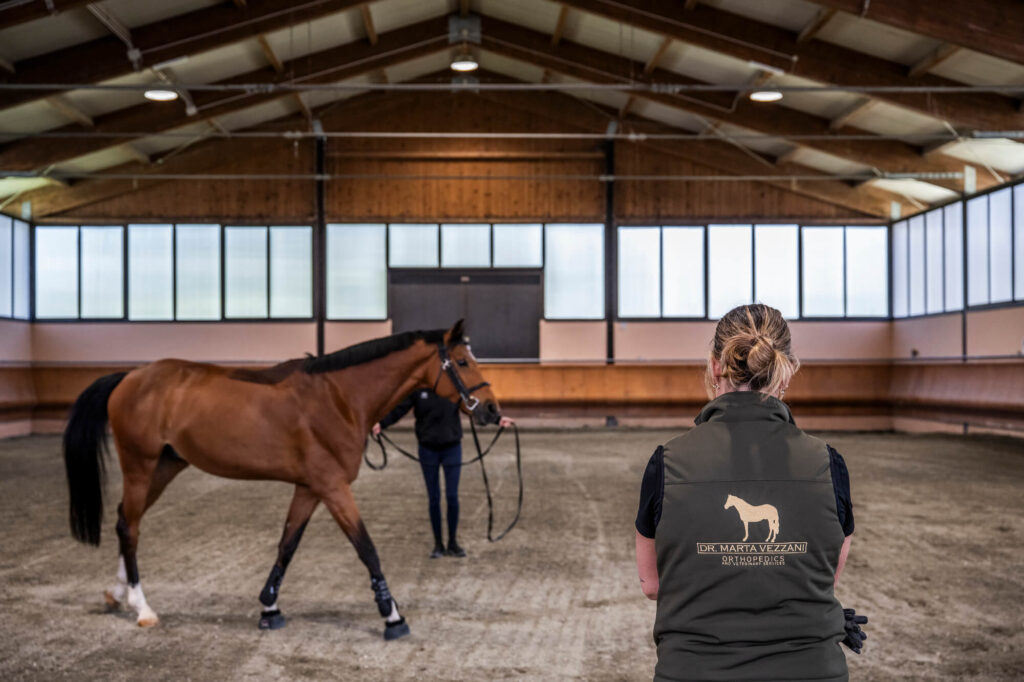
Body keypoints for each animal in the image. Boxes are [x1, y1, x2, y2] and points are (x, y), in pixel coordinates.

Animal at [62, 319, 500, 640]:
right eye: (462, 362)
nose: (492, 411)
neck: (339, 397)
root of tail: (130, 377)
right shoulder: (333, 488)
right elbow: (367, 548)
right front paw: (392, 616)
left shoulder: (309, 488)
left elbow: (287, 545)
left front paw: (269, 608)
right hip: (141, 466)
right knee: (129, 527)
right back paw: (143, 607)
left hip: (165, 468)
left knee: (126, 521)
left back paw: (118, 593)